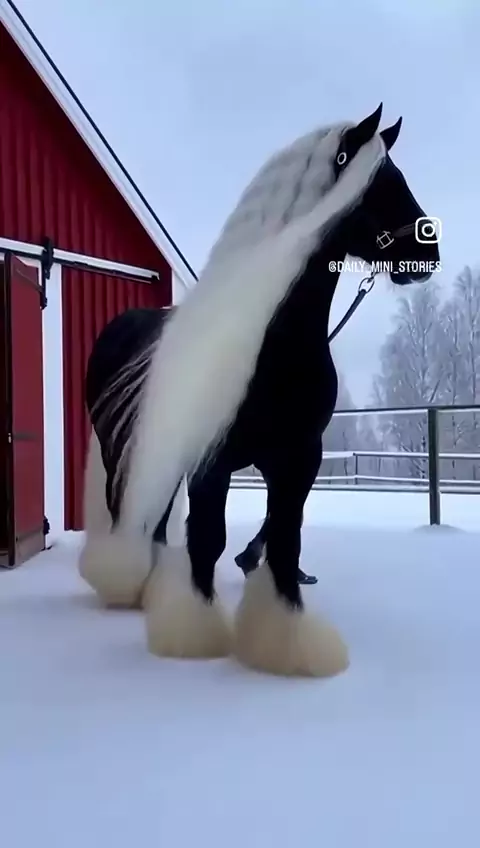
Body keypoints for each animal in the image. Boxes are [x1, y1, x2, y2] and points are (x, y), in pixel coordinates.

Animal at [79, 103, 440, 678]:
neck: (274, 344)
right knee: (129, 516)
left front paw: (286, 643)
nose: (428, 252)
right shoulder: (213, 460)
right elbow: (209, 539)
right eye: (381, 184)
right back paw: (127, 584)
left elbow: (285, 540)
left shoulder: (298, 458)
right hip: (123, 452)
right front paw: (196, 635)